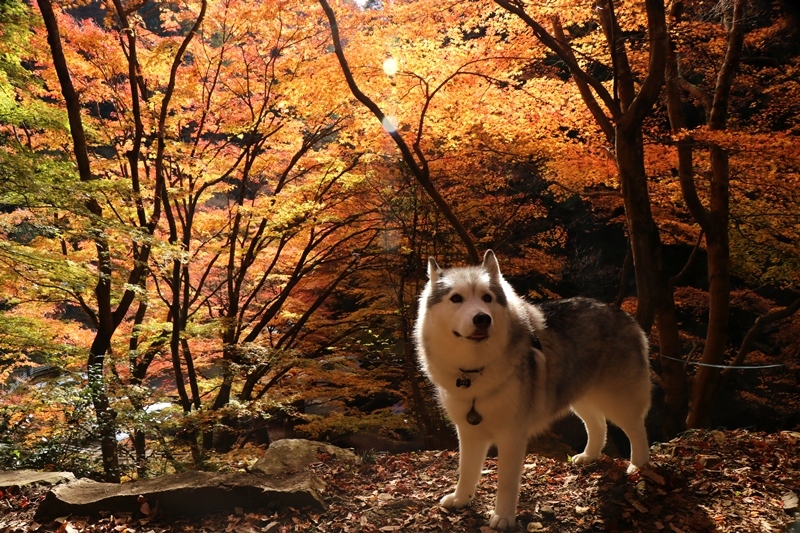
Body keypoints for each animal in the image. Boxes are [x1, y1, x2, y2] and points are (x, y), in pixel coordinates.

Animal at [412, 249, 648, 528]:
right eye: (456, 298)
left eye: (487, 297)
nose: (482, 318)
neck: (474, 371)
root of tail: (621, 313)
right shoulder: (469, 431)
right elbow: (466, 470)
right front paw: (461, 499)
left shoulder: (511, 435)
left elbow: (506, 482)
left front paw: (503, 517)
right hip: (578, 396)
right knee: (598, 424)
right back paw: (589, 456)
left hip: (617, 400)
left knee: (637, 429)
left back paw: (639, 467)